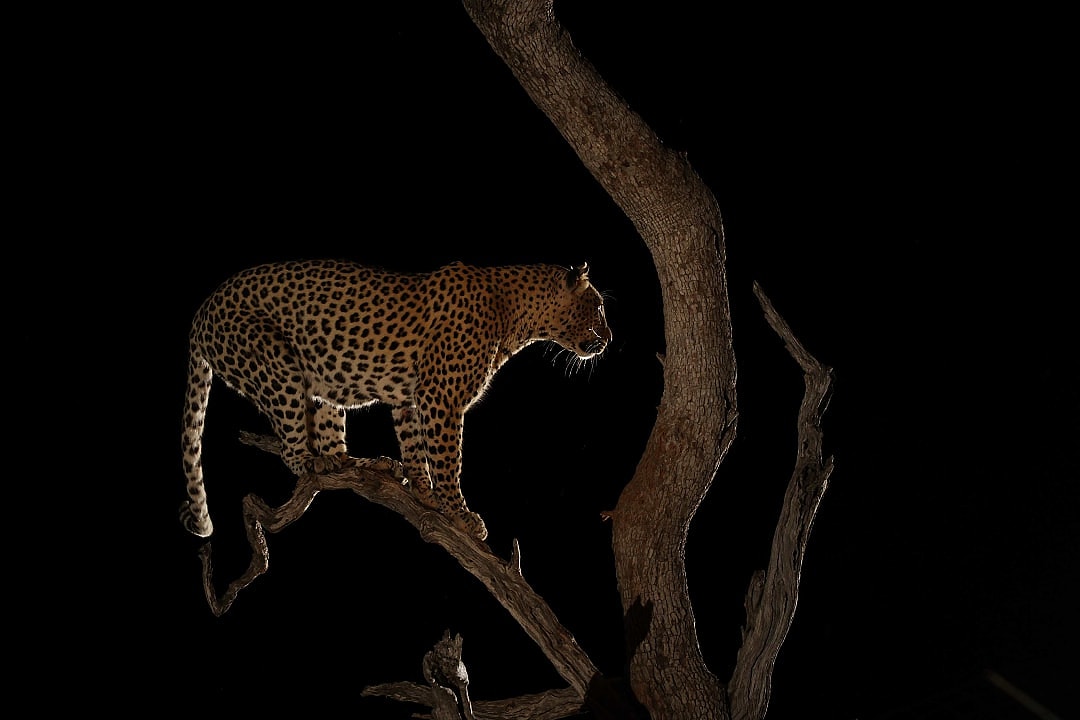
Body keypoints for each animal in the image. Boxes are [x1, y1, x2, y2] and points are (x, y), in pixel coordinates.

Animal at [179, 259, 611, 542]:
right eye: (599, 306)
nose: (608, 340)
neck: (517, 316)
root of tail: (201, 313)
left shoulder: (414, 398)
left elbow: (417, 446)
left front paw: (424, 492)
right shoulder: (442, 397)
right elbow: (449, 459)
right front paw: (459, 512)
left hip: (319, 380)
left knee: (330, 436)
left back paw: (362, 462)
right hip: (275, 363)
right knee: (291, 448)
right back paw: (312, 461)